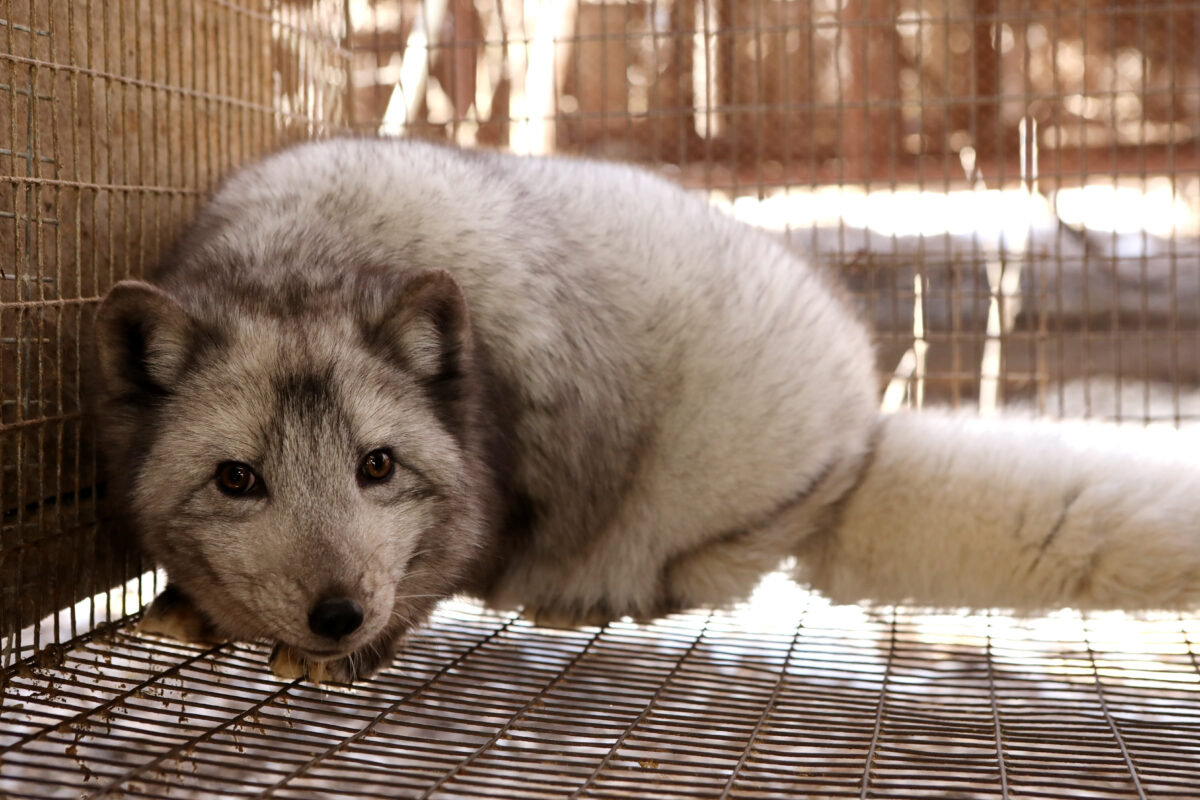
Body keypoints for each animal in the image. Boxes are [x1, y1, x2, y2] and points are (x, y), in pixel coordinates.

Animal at [94, 137, 1200, 684]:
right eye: (238, 479)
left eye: (378, 466)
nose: (337, 613)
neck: (313, 250)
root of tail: (862, 431)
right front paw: (189, 602)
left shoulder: (496, 484)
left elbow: (441, 568)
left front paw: (368, 646)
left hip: (705, 510)